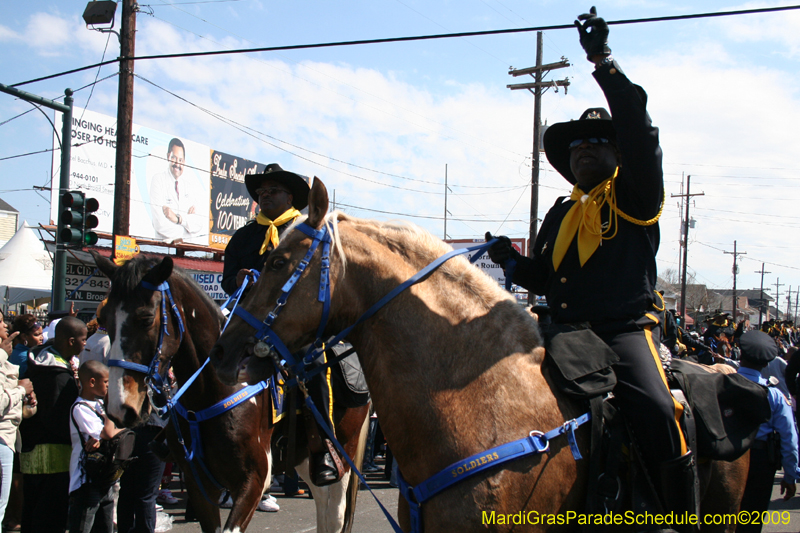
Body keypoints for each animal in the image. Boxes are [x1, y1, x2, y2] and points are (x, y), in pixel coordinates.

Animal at [93, 250, 372, 532]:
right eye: (104, 319)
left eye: (146, 318)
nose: (120, 407)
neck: (210, 392)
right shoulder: (199, 484)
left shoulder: (254, 480)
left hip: (342, 455)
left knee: (334, 513)